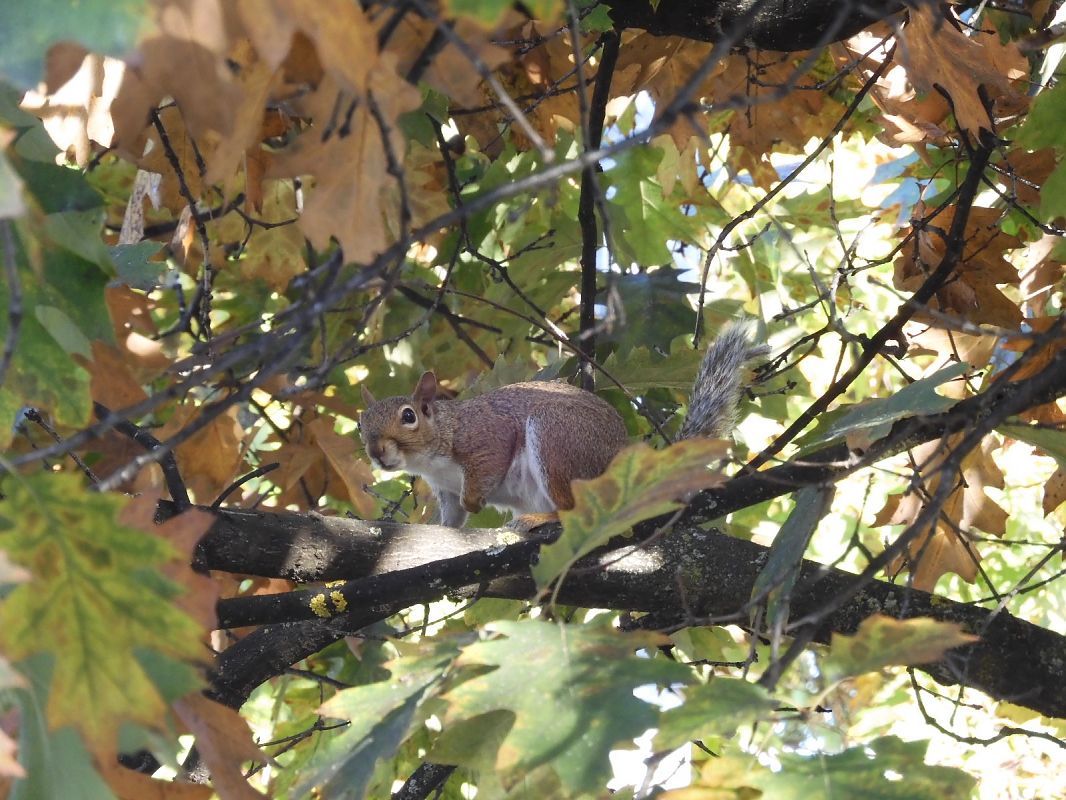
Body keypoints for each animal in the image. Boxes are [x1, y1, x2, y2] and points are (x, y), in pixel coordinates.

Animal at [358, 320, 766, 528]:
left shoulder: (485, 435)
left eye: (409, 416)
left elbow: (487, 466)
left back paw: (537, 518)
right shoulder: (443, 489)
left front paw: (475, 501)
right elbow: (452, 519)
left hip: (556, 439)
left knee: (573, 509)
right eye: (362, 424)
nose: (377, 453)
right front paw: (446, 529)